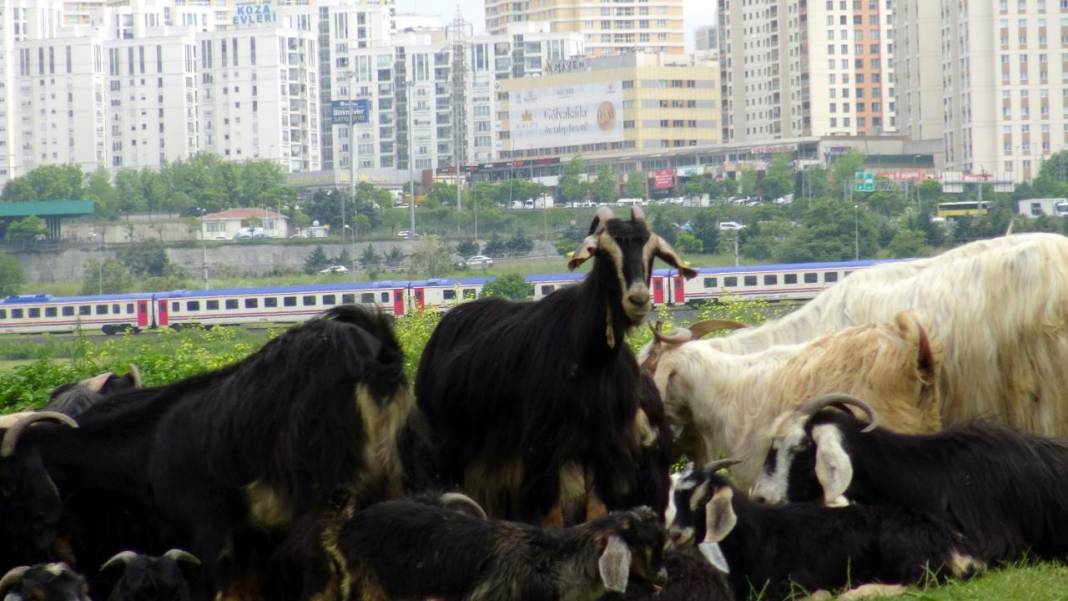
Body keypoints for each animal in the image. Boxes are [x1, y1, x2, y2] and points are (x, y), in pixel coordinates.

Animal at [0, 307, 414, 597]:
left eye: (10, 483)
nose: (28, 546)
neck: (150, 446)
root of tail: (377, 358)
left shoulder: (203, 528)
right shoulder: (250, 540)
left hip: (323, 493)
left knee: (323, 569)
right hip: (388, 482)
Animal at [412, 207, 687, 527]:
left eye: (651, 251)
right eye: (604, 252)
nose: (638, 299)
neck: (588, 360)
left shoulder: (600, 449)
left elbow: (596, 514)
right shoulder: (542, 452)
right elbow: (552, 520)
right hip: (450, 449)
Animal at [670, 463, 978, 597]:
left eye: (702, 499)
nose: (675, 534)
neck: (758, 534)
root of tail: (961, 548)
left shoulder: (789, 587)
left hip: (902, 551)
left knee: (916, 583)